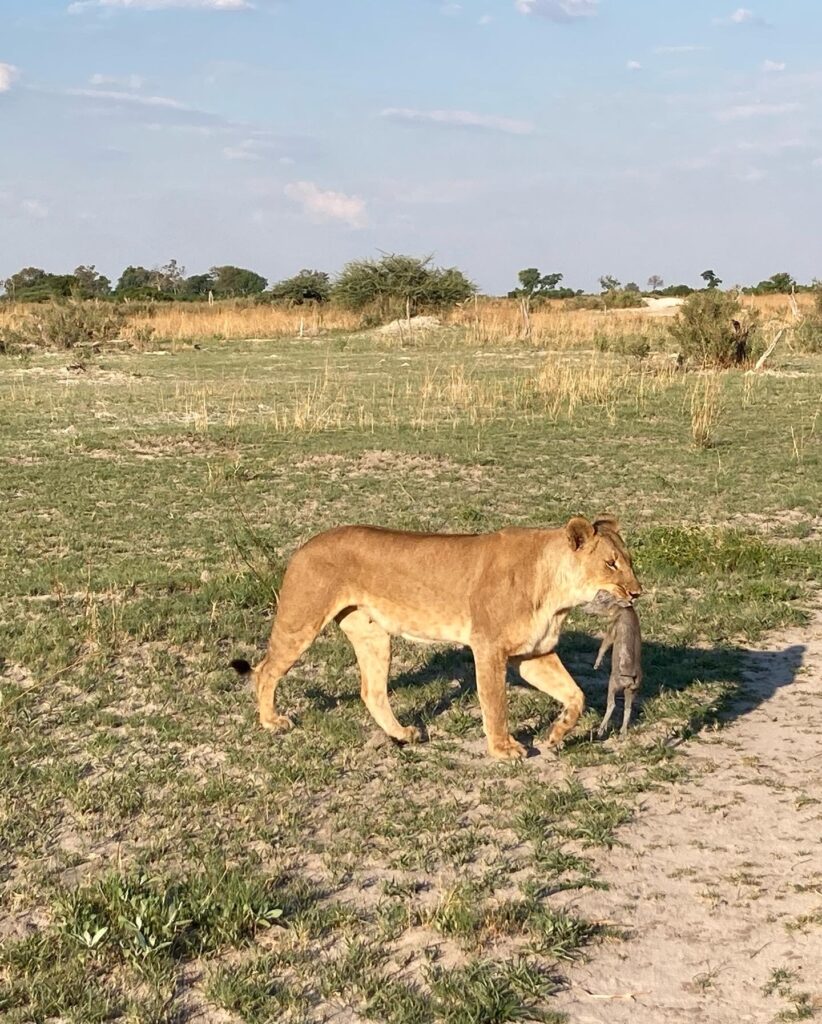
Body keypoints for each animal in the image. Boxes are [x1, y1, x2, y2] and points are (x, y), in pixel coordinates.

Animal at [231, 515, 642, 760]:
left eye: (629, 562)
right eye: (610, 564)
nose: (637, 593)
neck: (556, 596)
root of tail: (304, 546)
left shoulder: (533, 654)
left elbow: (576, 694)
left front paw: (556, 735)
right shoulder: (489, 647)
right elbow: (495, 703)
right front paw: (504, 749)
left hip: (373, 636)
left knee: (372, 691)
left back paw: (404, 734)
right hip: (301, 621)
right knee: (266, 670)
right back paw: (272, 722)